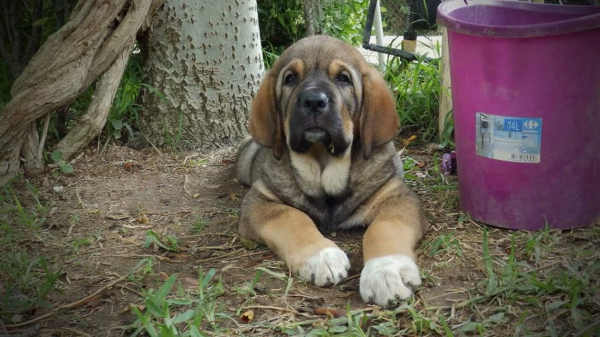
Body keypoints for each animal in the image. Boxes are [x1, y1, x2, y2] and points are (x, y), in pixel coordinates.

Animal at [237, 35, 428, 306]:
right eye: (290, 78)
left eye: (343, 78)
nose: (314, 101)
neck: (323, 168)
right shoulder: (259, 201)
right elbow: (292, 218)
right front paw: (321, 256)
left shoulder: (397, 197)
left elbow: (384, 227)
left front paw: (385, 271)